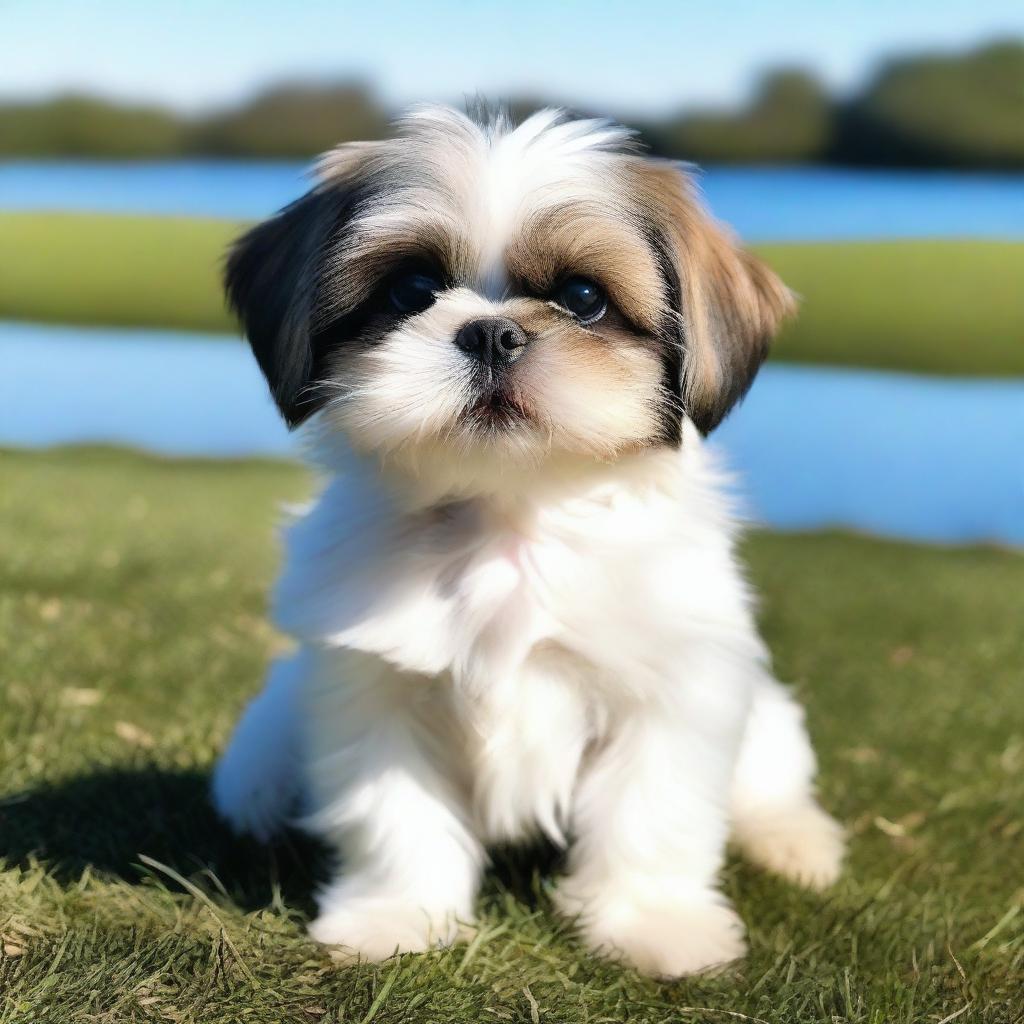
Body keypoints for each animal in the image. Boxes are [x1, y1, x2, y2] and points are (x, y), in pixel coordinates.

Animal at [211, 103, 843, 974]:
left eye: (582, 298)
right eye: (411, 290)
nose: (490, 333)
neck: (509, 517)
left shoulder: (673, 690)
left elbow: (652, 814)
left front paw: (654, 925)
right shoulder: (375, 691)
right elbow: (397, 817)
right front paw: (397, 917)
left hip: (766, 718)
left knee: (771, 784)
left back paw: (794, 840)